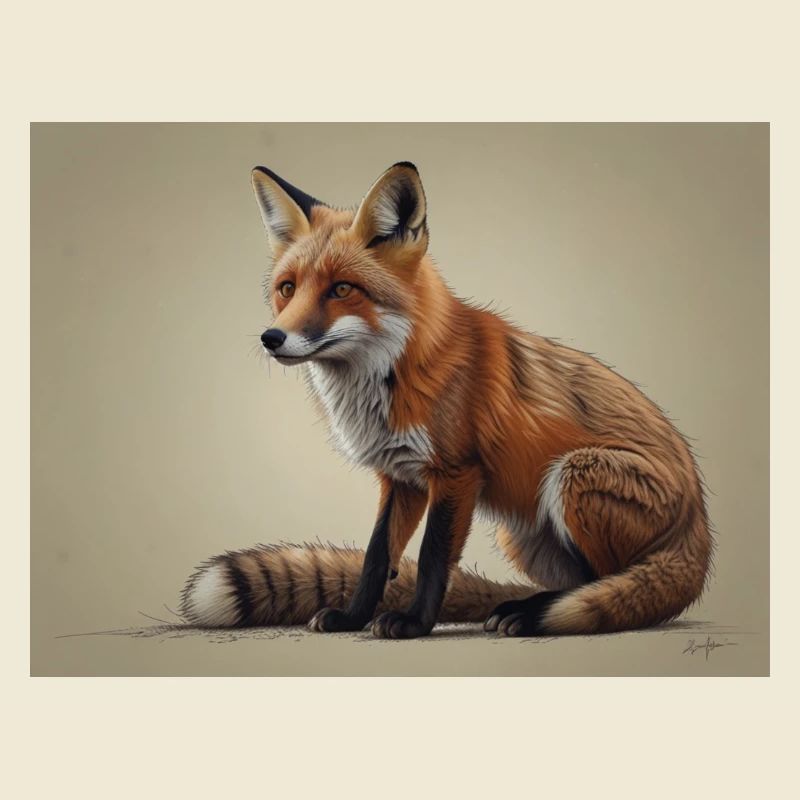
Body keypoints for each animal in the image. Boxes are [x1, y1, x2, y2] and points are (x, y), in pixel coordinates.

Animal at [179, 161, 713, 638]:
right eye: (287, 289)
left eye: (342, 289)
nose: (272, 338)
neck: (396, 375)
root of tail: (699, 527)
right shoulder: (400, 477)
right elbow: (377, 557)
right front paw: (353, 617)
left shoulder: (457, 472)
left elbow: (434, 557)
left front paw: (414, 624)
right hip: (520, 530)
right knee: (584, 584)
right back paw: (520, 606)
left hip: (572, 473)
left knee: (610, 587)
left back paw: (530, 615)